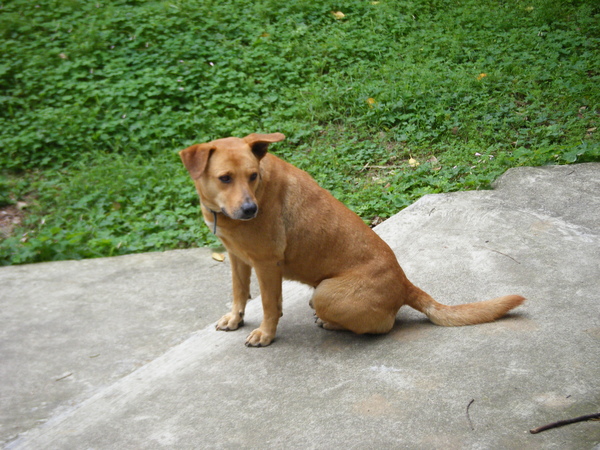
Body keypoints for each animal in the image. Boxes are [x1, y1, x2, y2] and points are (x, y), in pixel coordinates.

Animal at [182, 132, 524, 346]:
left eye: (253, 175)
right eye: (225, 178)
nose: (250, 210)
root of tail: (405, 284)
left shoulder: (267, 265)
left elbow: (268, 305)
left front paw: (265, 334)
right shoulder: (236, 257)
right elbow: (239, 293)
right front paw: (235, 318)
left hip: (325, 293)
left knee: (382, 326)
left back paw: (332, 323)